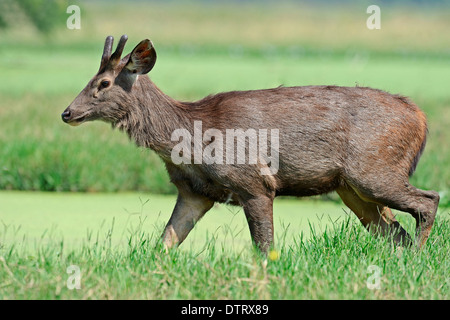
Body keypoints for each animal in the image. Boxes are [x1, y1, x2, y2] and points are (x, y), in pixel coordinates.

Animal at [61, 35, 438, 254]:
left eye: (104, 83)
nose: (67, 112)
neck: (191, 140)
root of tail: (421, 117)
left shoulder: (255, 182)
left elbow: (265, 249)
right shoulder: (194, 192)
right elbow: (164, 243)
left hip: (374, 170)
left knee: (428, 201)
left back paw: (419, 258)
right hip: (352, 189)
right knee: (395, 232)